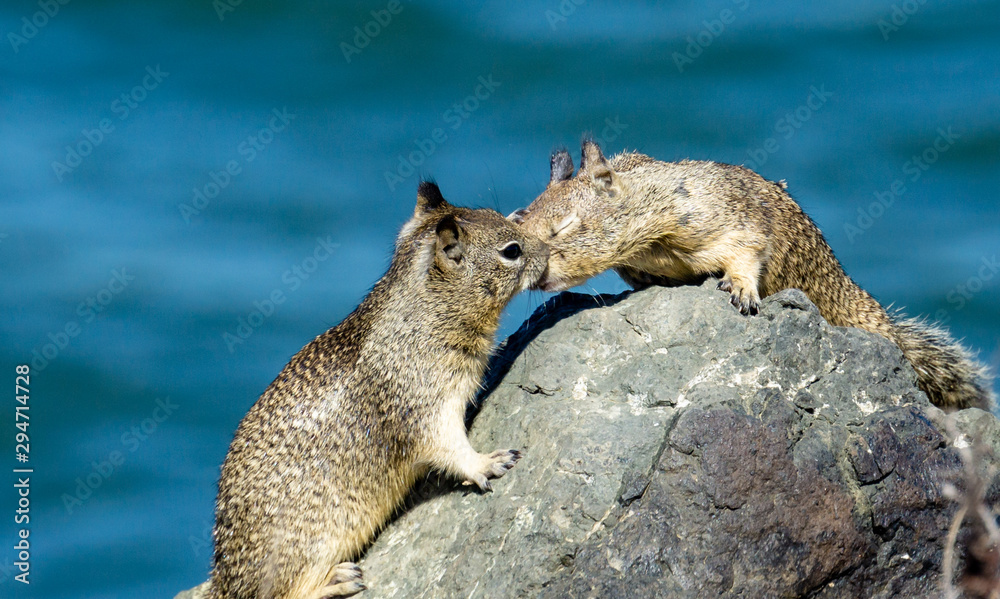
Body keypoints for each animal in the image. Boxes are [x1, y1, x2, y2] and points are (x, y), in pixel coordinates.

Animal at [207, 181, 548, 599]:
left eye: (507, 215)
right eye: (511, 250)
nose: (547, 251)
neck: (424, 311)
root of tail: (227, 584)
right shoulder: (424, 405)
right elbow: (449, 446)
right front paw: (488, 462)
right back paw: (338, 580)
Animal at [509, 139, 994, 411]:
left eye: (563, 227)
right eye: (517, 219)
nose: (534, 279)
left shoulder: (727, 219)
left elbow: (747, 252)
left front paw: (741, 289)